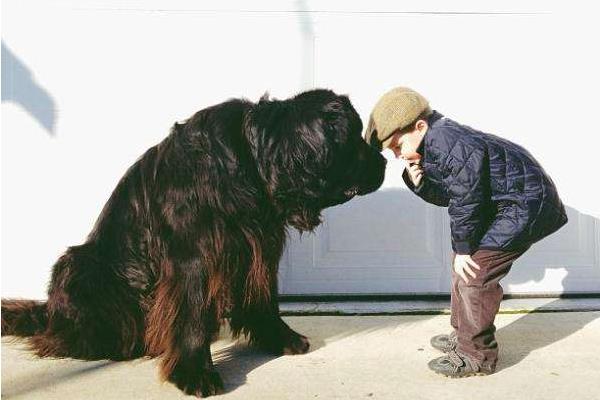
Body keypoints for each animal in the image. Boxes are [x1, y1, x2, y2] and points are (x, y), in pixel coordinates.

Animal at [2, 88, 386, 396]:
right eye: (355, 137)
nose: (383, 159)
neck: (248, 160)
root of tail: (48, 312)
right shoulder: (193, 255)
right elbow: (191, 315)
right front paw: (195, 372)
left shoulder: (259, 246)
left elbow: (263, 299)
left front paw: (280, 338)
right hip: (80, 265)